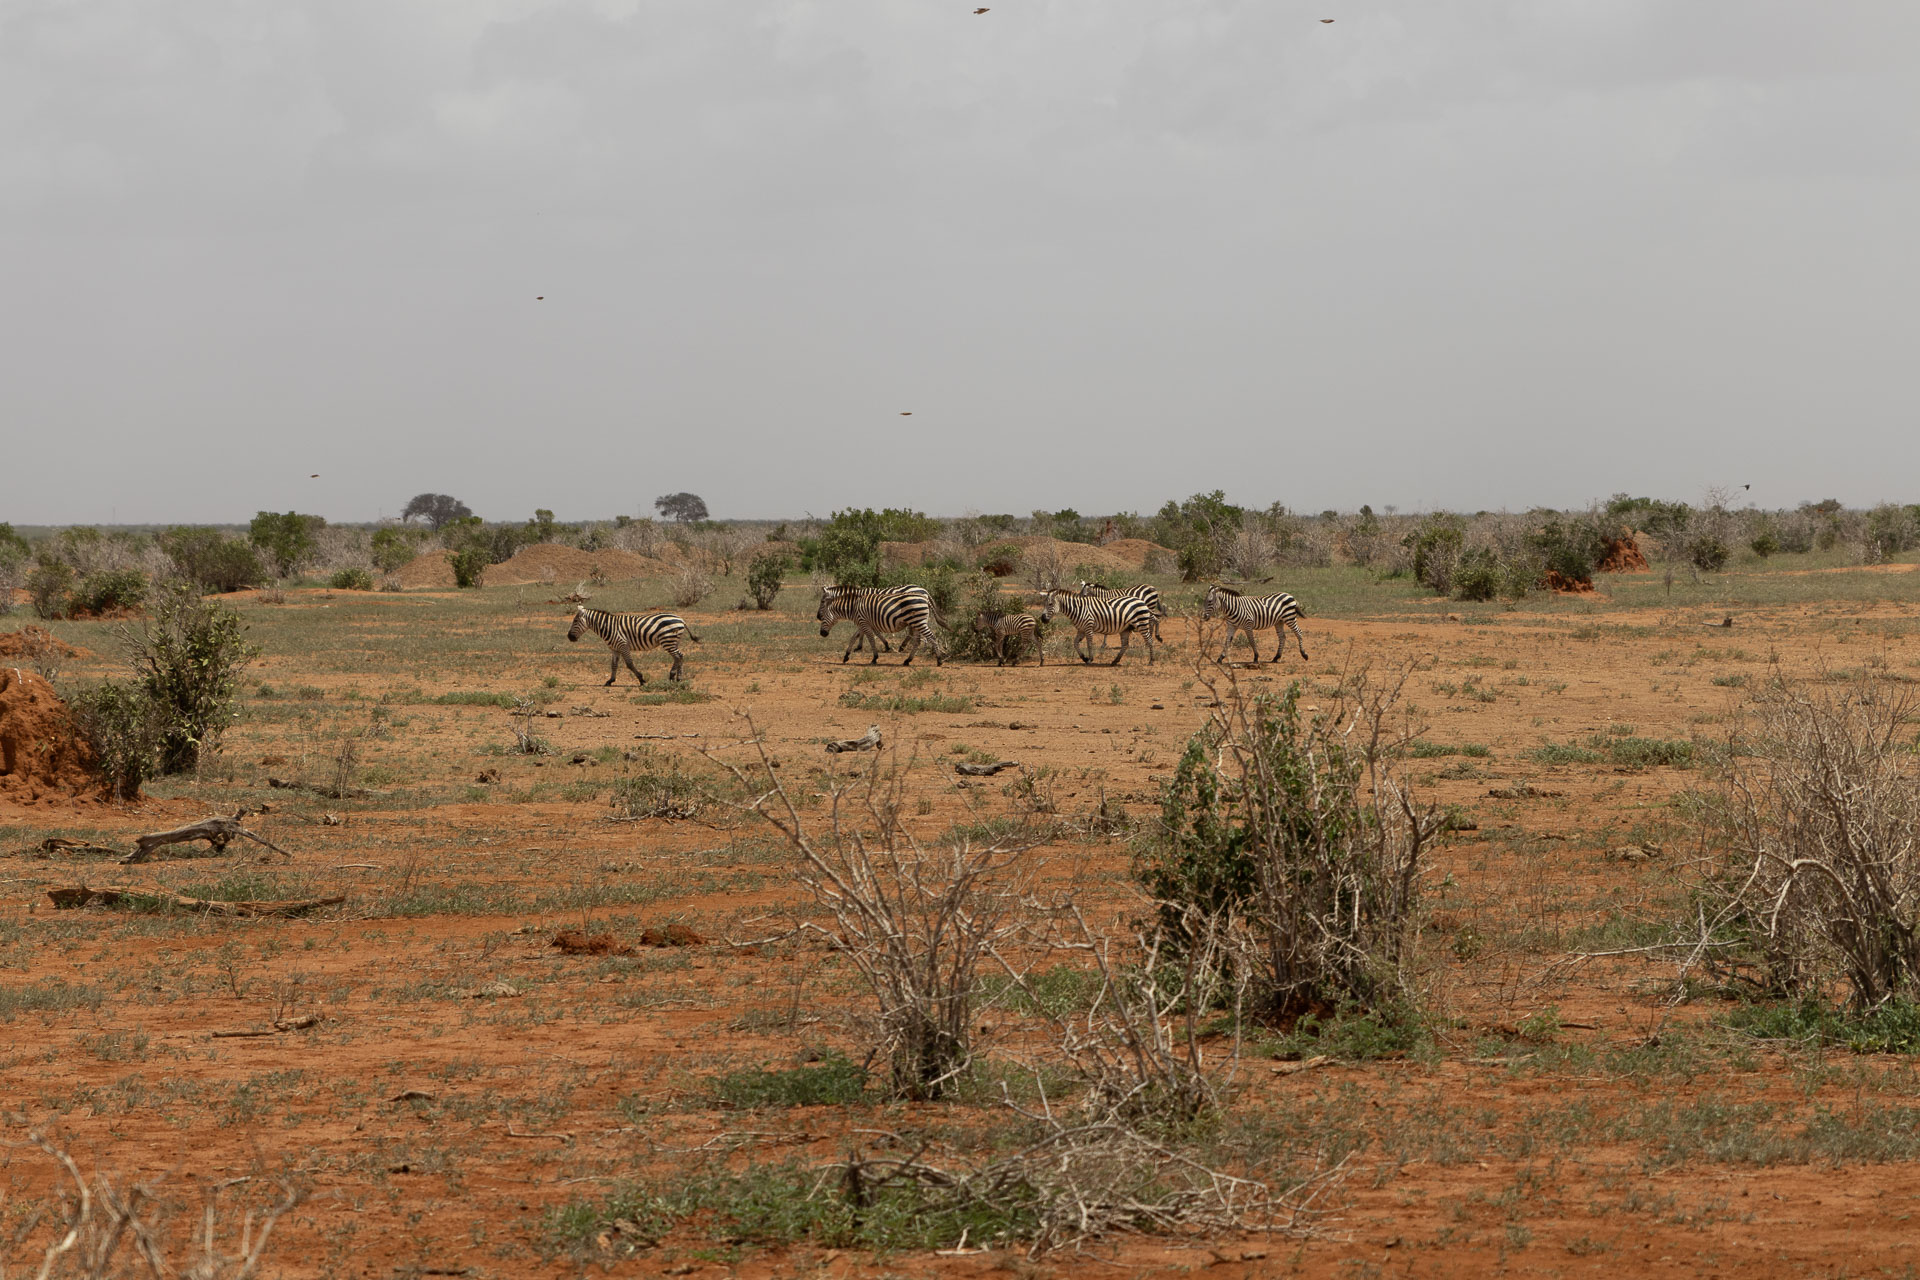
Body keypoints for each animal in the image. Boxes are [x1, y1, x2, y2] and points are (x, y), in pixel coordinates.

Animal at [567, 605, 699, 684]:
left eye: (575, 621)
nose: (569, 637)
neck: (608, 627)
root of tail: (681, 619)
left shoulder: (623, 645)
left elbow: (629, 664)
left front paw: (641, 679)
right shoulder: (614, 648)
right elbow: (614, 665)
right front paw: (610, 680)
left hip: (668, 641)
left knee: (678, 656)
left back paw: (673, 676)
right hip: (673, 641)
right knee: (679, 656)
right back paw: (677, 678)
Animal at [817, 585, 945, 665]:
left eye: (822, 601)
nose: (818, 616)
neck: (854, 605)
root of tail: (924, 592)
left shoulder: (866, 621)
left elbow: (871, 637)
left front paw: (875, 656)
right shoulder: (866, 621)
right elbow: (856, 636)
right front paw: (848, 654)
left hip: (918, 621)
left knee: (929, 636)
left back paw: (937, 659)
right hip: (916, 621)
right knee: (917, 639)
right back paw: (908, 658)